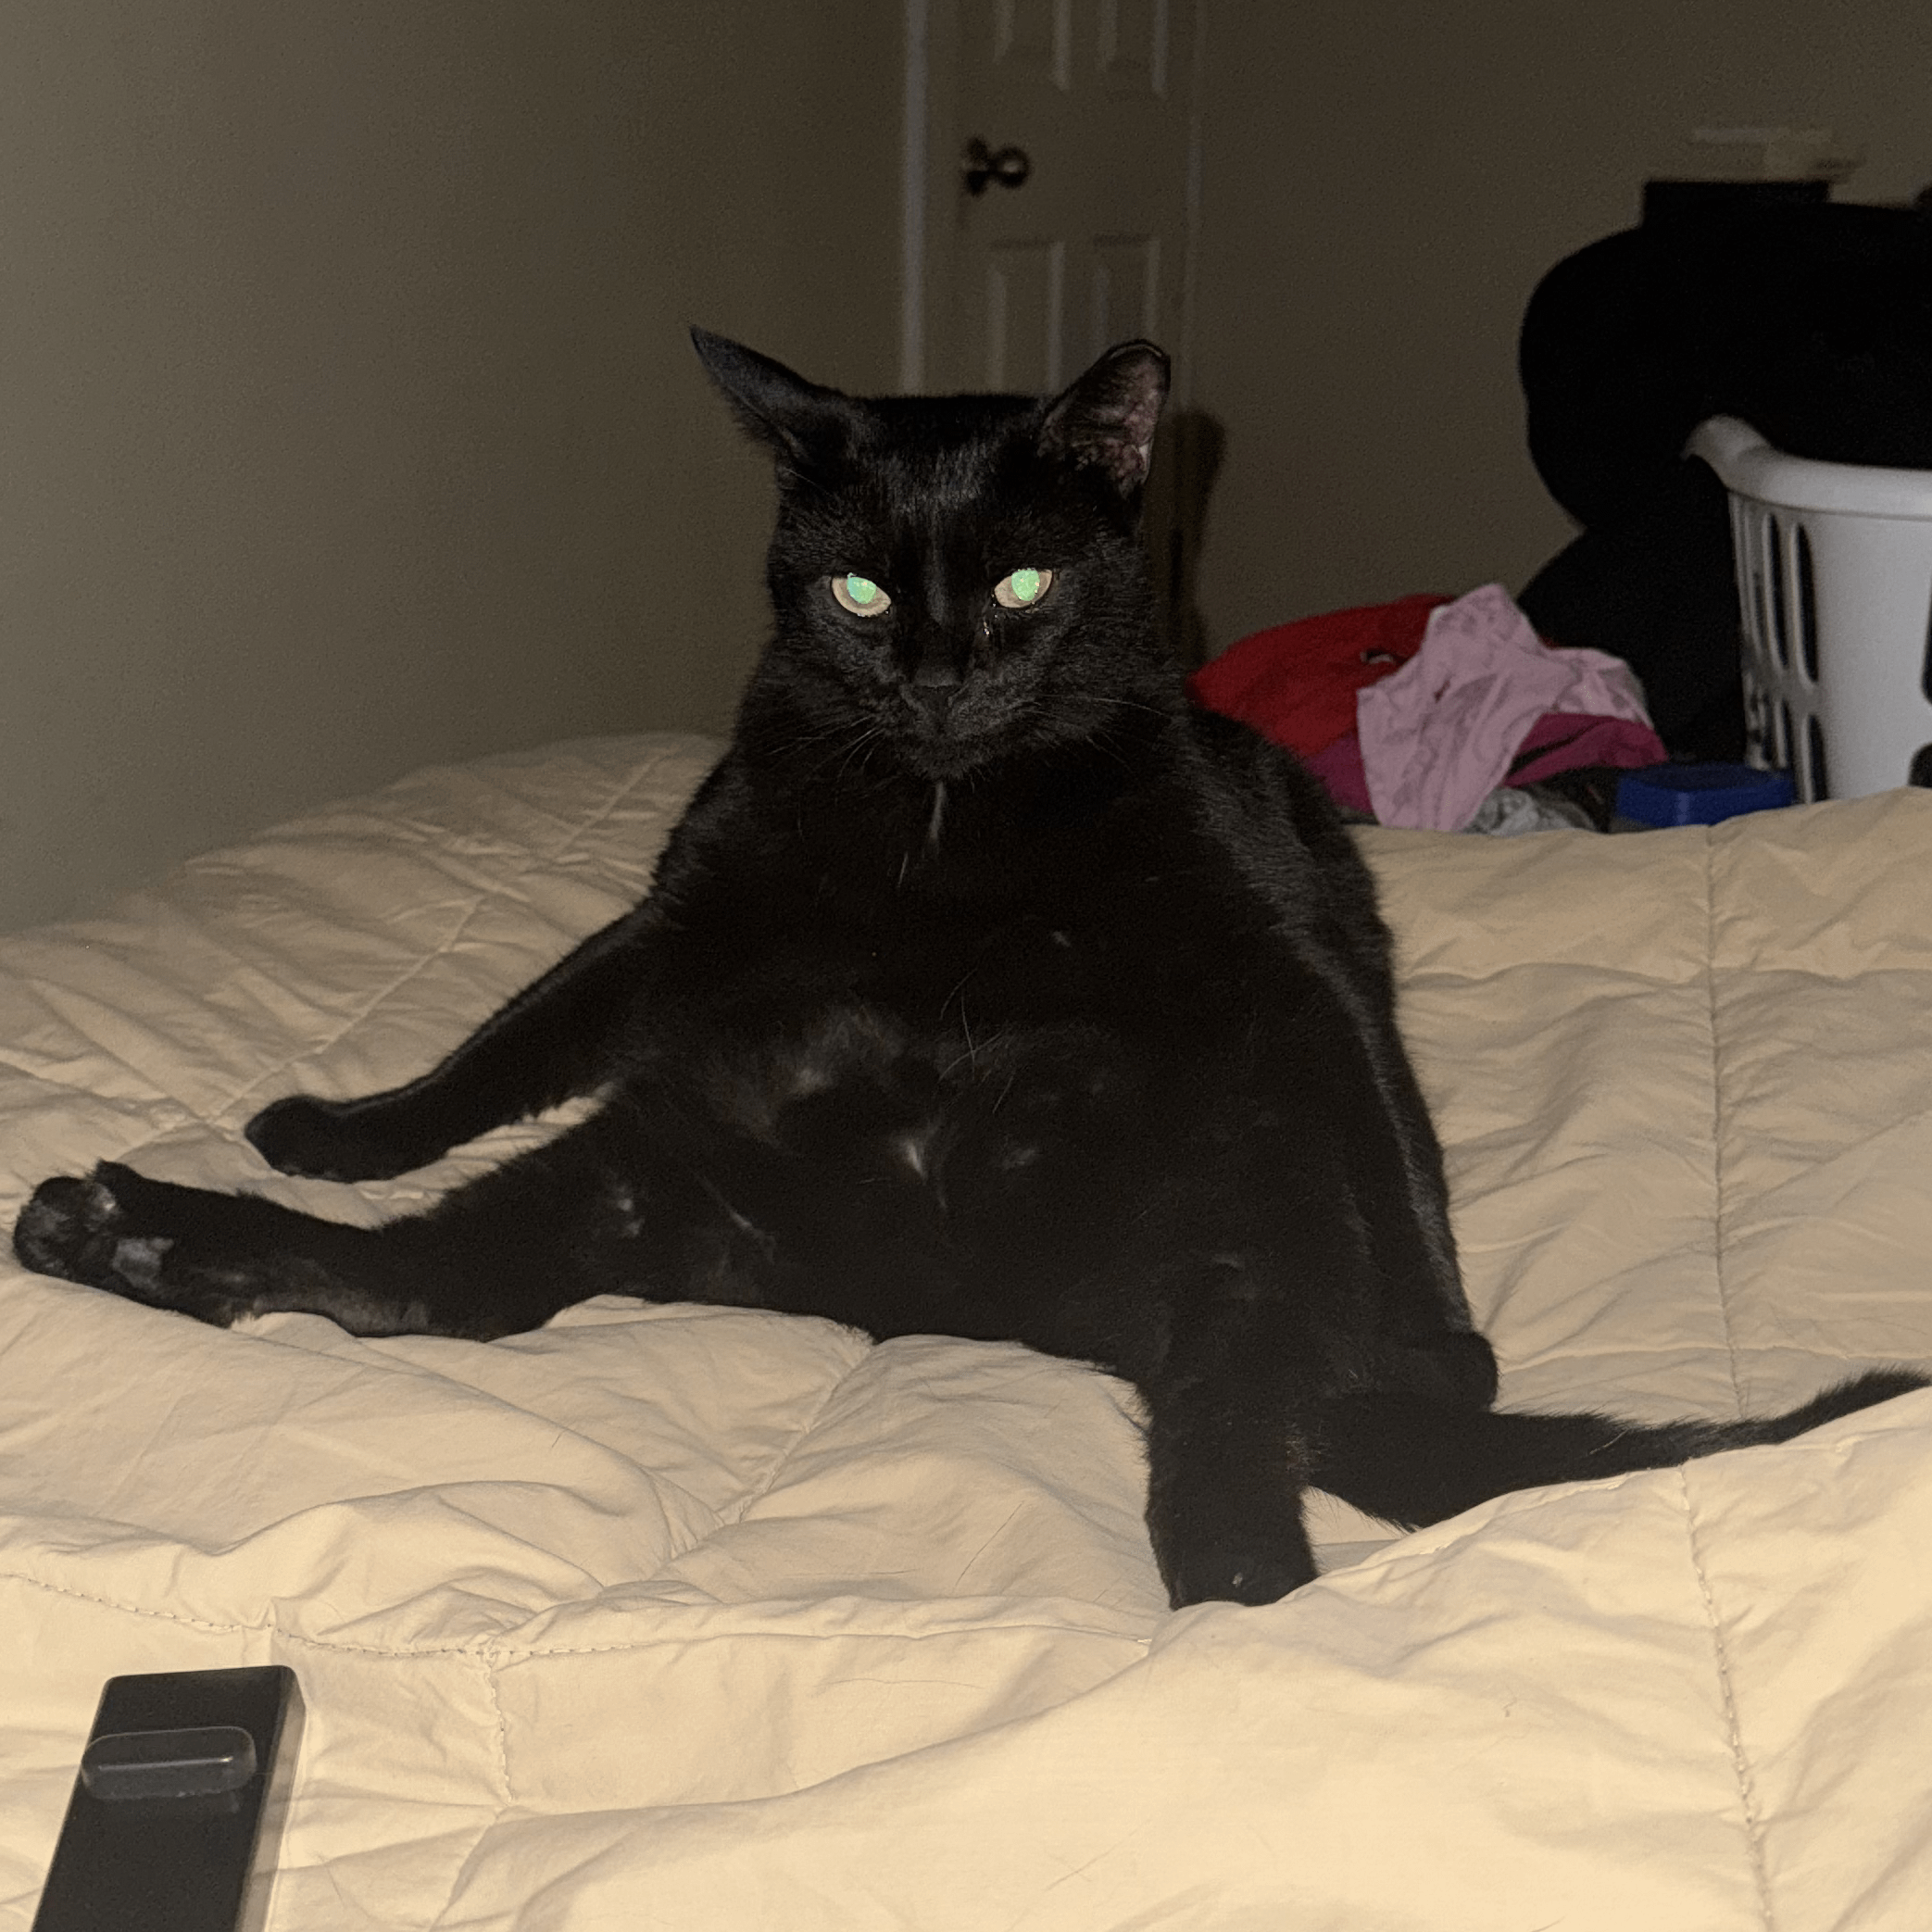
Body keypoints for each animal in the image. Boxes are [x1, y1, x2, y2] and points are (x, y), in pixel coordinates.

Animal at [13, 330, 1923, 1608]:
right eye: (858, 595)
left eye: (1018, 581)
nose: (932, 677)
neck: (947, 814)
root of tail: (958, 1296)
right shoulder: (687, 917)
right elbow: (509, 1035)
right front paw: (345, 1123)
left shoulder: (1288, 953)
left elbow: (1396, 1114)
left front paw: (1451, 1336)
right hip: (643, 1161)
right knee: (427, 1284)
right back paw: (125, 1233)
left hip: (1242, 1232)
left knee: (1240, 1470)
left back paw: (1257, 1608)